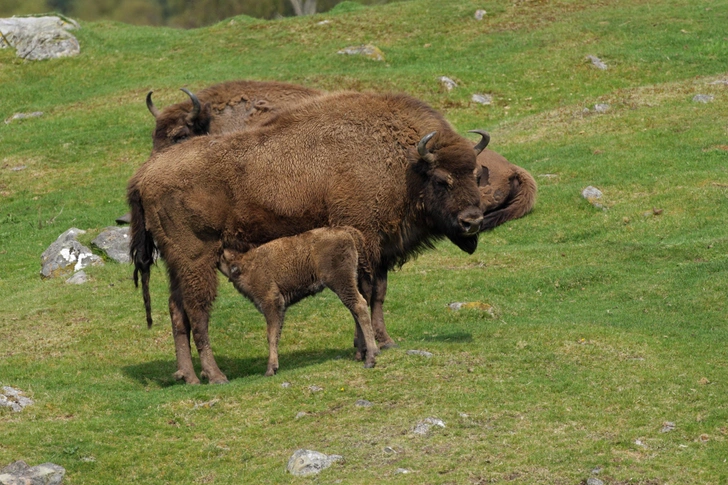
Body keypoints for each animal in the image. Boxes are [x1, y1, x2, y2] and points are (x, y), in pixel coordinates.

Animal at [218, 226, 378, 374]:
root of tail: (345, 230)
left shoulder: (272, 303)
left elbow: (271, 335)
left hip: (341, 282)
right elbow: (276, 334)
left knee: (359, 306)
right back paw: (360, 355)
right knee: (355, 311)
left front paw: (270, 369)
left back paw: (370, 359)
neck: (244, 265)